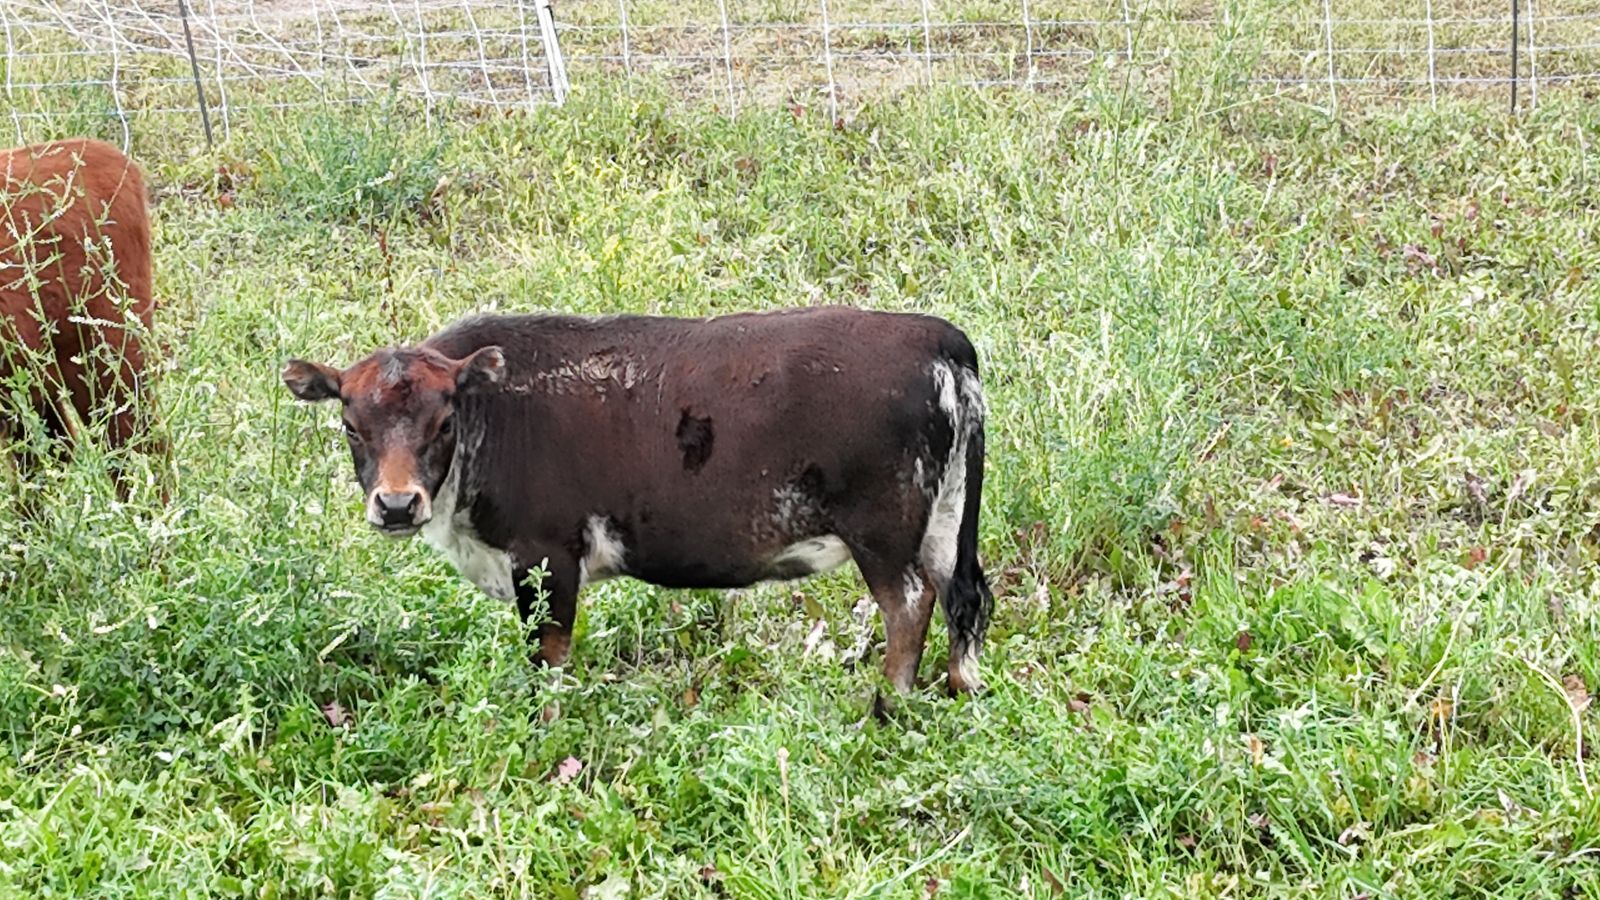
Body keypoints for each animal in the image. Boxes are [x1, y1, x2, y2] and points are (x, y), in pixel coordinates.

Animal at [282, 307, 994, 698]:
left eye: (444, 421)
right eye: (351, 425)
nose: (397, 505)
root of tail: (937, 337)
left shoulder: (545, 554)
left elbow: (549, 656)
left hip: (883, 530)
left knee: (910, 604)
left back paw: (885, 706)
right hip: (944, 519)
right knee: (963, 594)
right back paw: (960, 689)